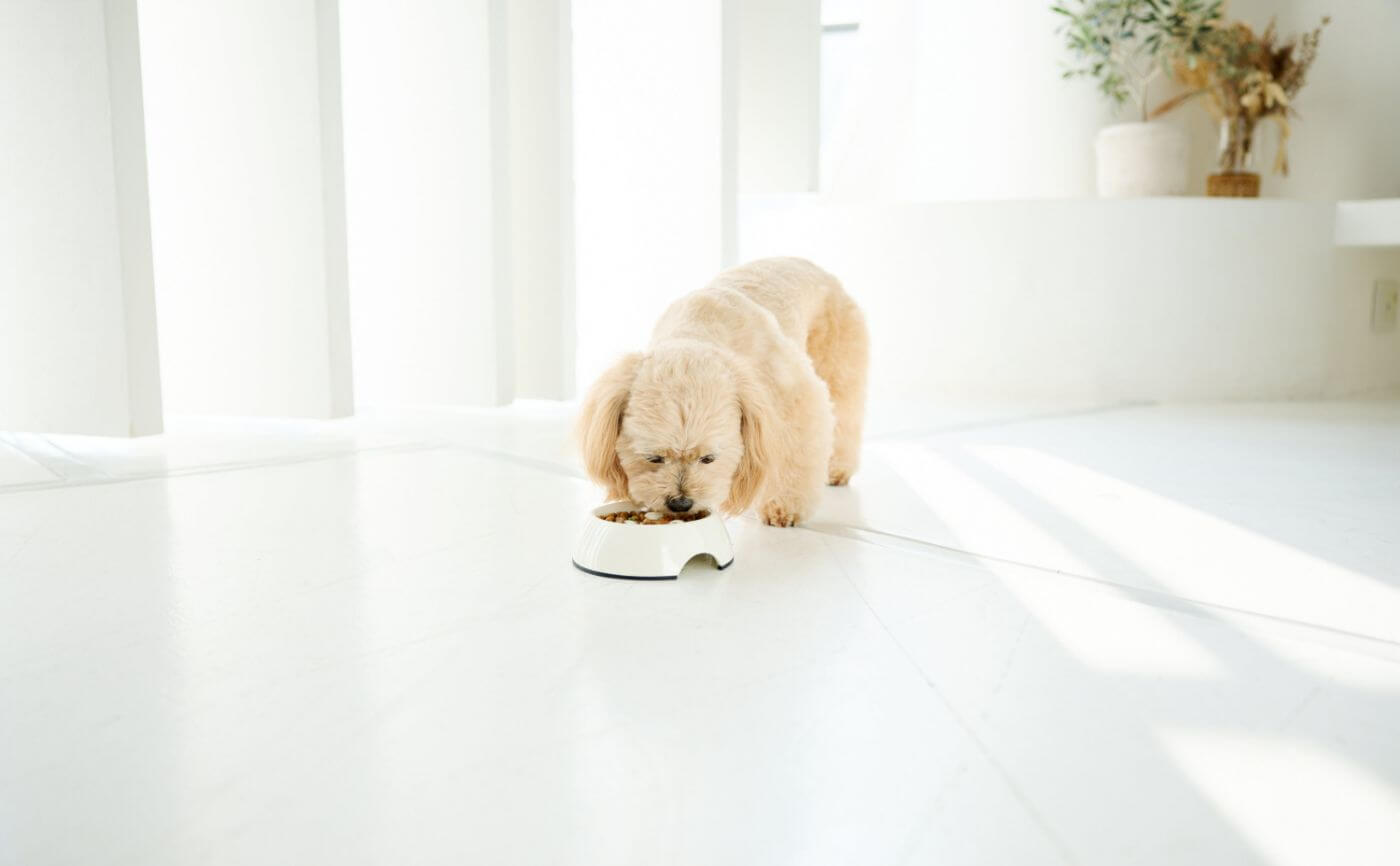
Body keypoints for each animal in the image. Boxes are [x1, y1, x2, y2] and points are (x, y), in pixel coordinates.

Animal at [576, 257, 862, 528]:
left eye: (709, 459)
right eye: (653, 458)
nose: (680, 503)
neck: (696, 332)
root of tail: (813, 267)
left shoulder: (790, 394)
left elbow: (793, 451)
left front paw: (783, 508)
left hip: (839, 357)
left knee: (846, 411)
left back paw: (836, 469)